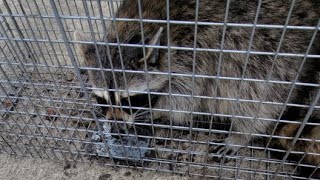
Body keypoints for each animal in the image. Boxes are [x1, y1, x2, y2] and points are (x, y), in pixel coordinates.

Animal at [75, 0, 320, 159]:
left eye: (129, 100)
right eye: (102, 100)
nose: (117, 129)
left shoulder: (192, 56)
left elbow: (184, 102)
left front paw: (156, 111)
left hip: (276, 50)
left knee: (259, 92)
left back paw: (242, 133)